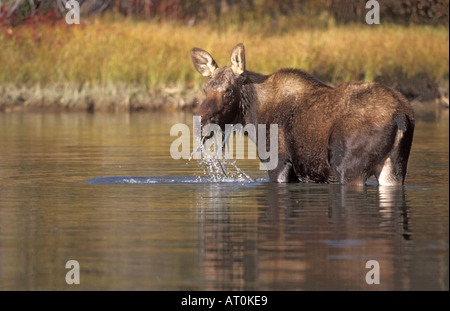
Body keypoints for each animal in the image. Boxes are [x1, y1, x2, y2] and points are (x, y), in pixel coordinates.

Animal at [190, 43, 414, 185]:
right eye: (205, 89)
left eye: (228, 90)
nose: (200, 123)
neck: (252, 118)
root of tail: (401, 117)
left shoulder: (279, 163)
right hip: (394, 167)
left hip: (349, 168)